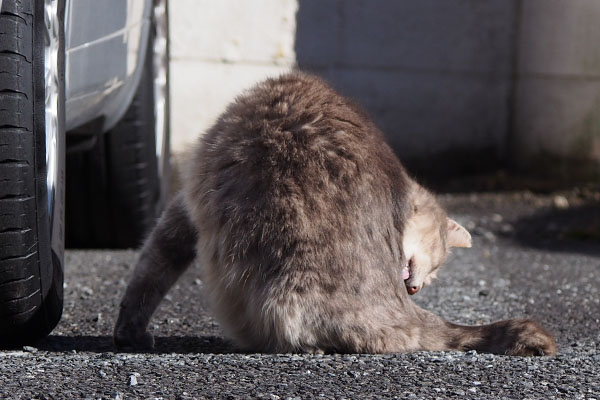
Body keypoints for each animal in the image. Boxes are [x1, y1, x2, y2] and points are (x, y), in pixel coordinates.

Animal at [113, 72, 556, 356]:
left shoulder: (185, 205)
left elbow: (150, 271)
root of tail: (402, 310)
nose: (417, 287)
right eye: (431, 269)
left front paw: (128, 330)